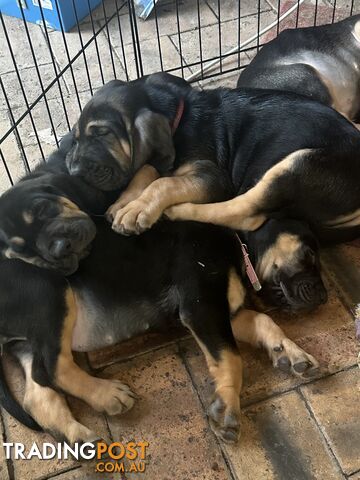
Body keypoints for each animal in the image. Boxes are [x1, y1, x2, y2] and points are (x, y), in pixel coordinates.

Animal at [0, 145, 318, 442]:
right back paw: (108, 394)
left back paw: (78, 436)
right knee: (52, 368)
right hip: (50, 293)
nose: (322, 297)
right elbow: (231, 357)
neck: (235, 242)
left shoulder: (220, 311)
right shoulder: (201, 305)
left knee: (37, 392)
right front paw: (227, 407)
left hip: (28, 340)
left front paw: (288, 352)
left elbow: (263, 322)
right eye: (309, 253)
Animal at [67, 73, 360, 246]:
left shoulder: (213, 176)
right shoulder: (163, 159)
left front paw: (137, 208)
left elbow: (163, 183)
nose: (74, 171)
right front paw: (125, 200)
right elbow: (146, 169)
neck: (179, 119)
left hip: (299, 165)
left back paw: (178, 211)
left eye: (102, 133)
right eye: (77, 137)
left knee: (244, 213)